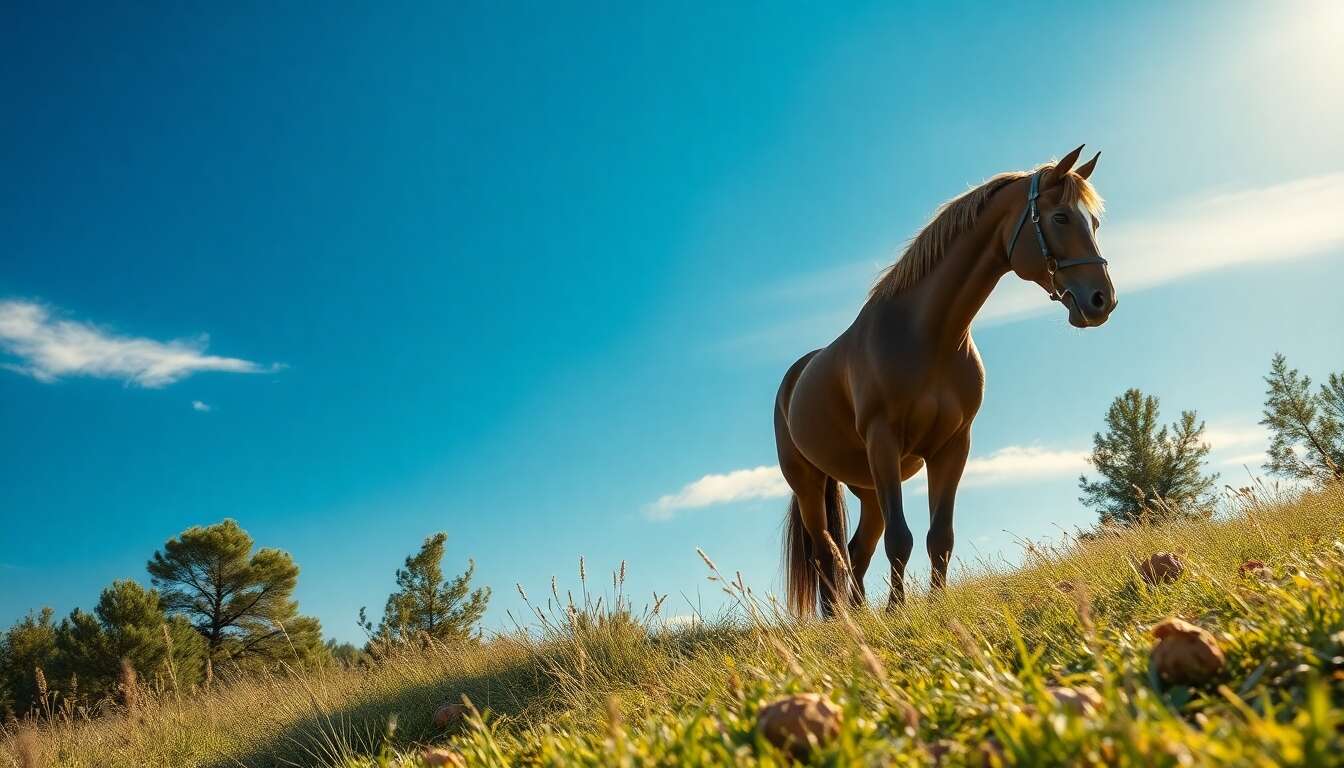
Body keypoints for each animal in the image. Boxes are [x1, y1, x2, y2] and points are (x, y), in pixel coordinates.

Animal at [775, 144, 1115, 617]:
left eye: (1094, 222)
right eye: (1061, 217)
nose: (1102, 300)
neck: (928, 336)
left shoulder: (952, 447)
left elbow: (940, 537)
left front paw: (934, 606)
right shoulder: (884, 442)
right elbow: (901, 539)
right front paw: (896, 612)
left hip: (866, 487)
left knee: (856, 551)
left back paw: (857, 614)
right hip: (810, 484)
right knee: (828, 554)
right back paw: (839, 620)